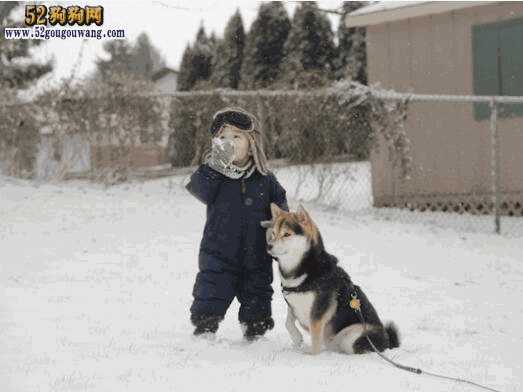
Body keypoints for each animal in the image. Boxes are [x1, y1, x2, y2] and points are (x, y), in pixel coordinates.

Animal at [262, 205, 402, 356]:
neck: (306, 268)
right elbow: (288, 322)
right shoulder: (293, 304)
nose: (268, 246)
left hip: (352, 335)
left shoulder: (317, 315)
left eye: (287, 234)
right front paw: (297, 338)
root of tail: (387, 341)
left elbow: (315, 340)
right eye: (273, 234)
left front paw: (312, 356)